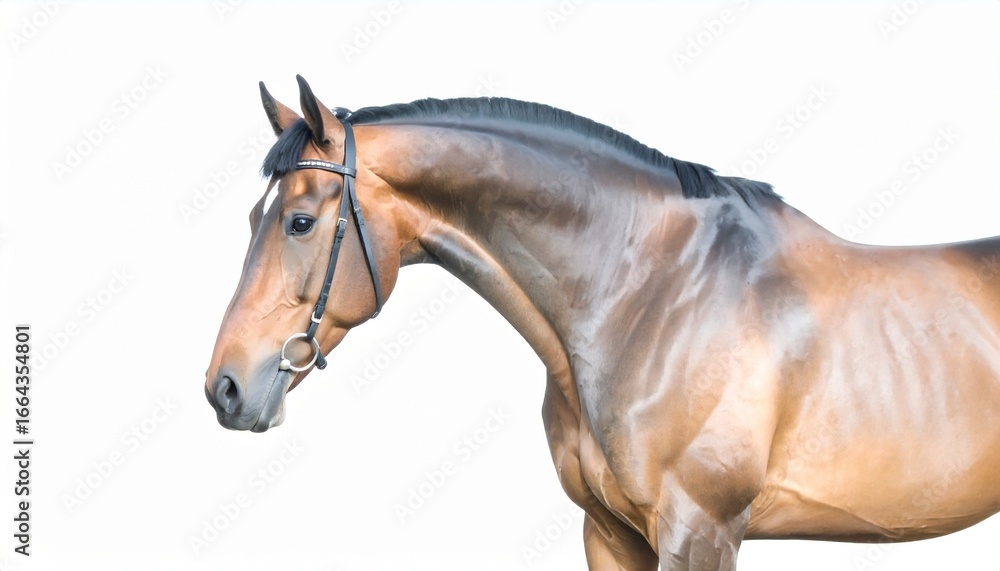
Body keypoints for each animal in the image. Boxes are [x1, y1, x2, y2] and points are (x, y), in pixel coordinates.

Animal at [204, 75, 1000, 570]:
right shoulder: (610, 531)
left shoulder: (700, 531)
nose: (226, 388)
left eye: (300, 222)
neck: (650, 296)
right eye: (250, 218)